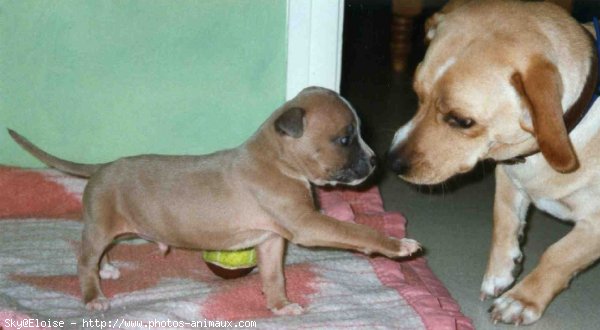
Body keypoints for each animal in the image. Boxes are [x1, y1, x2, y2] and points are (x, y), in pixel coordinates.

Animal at [10, 87, 422, 314]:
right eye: (345, 138)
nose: (374, 161)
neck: (277, 158)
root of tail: (101, 168)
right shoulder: (307, 225)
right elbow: (355, 231)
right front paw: (397, 244)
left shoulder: (271, 240)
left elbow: (274, 276)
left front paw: (279, 306)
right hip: (99, 226)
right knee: (83, 259)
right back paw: (93, 294)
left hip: (115, 226)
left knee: (101, 251)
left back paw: (107, 269)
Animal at [386, 0, 596, 324]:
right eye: (416, 94)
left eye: (462, 121)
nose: (392, 162)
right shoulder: (509, 179)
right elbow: (503, 220)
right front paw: (500, 272)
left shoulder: (593, 226)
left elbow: (558, 255)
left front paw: (522, 299)